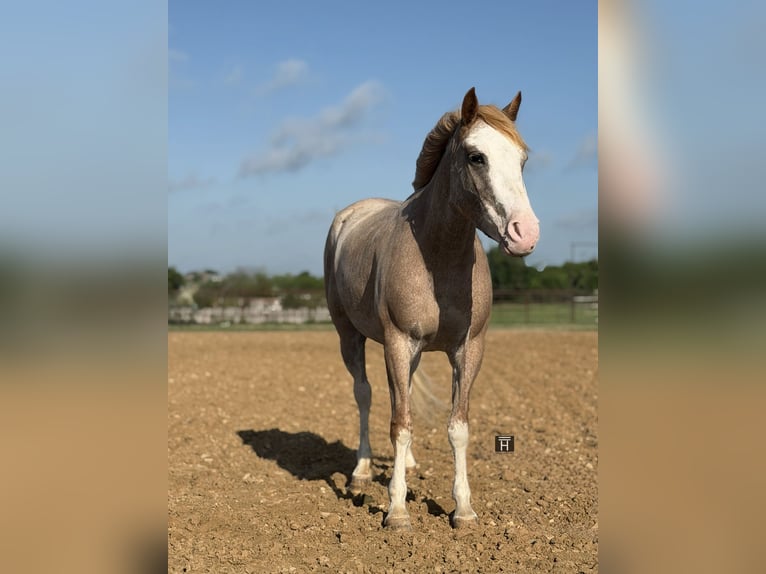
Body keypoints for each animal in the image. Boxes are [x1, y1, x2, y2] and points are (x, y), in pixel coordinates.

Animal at [323, 87, 539, 530]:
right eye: (476, 156)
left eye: (522, 159)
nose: (525, 234)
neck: (438, 257)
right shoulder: (397, 342)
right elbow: (399, 423)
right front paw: (397, 510)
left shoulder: (469, 349)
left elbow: (457, 427)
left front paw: (463, 509)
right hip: (350, 337)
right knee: (365, 395)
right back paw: (361, 473)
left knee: (399, 393)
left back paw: (408, 465)